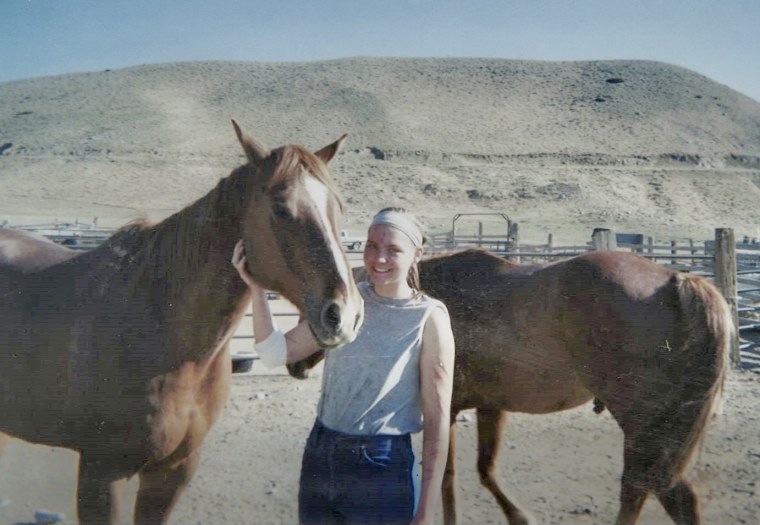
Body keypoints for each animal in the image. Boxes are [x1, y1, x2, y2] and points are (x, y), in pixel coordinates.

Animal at [290, 248, 732, 520]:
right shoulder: (490, 406)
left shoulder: (447, 409)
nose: (295, 361)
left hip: (644, 428)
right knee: (673, 494)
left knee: (641, 489)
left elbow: (447, 479)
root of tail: (677, 281)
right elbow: (485, 470)